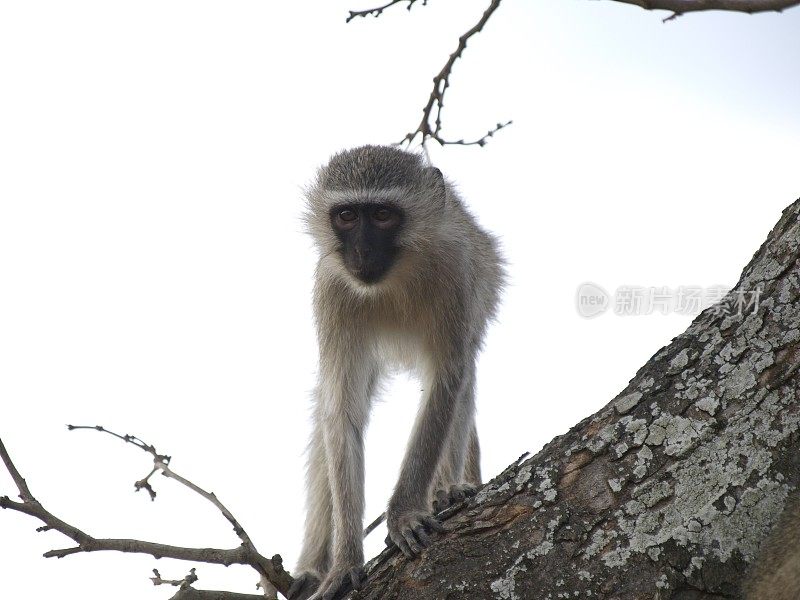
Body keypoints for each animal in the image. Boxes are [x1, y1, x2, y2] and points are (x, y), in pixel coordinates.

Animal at [286, 146, 500, 600]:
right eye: (347, 216)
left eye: (383, 215)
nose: (363, 252)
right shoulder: (331, 291)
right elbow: (342, 414)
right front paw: (344, 563)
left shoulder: (456, 274)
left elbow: (445, 381)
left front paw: (403, 514)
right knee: (325, 417)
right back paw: (312, 566)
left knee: (464, 375)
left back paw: (449, 489)